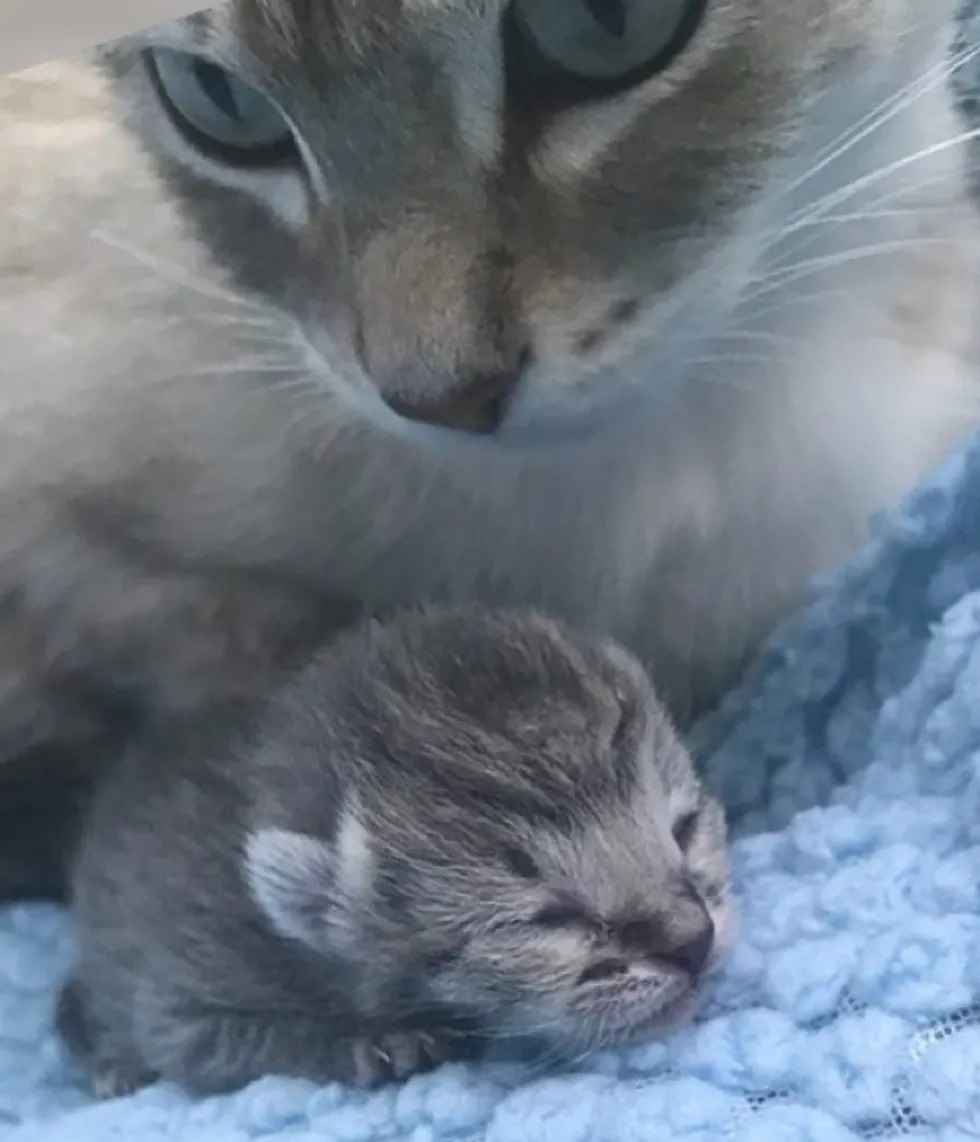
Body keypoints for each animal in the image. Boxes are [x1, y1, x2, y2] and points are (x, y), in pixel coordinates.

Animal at [57, 607, 731, 1096]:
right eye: (547, 919)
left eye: (684, 829)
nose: (694, 939)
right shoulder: (182, 988)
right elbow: (208, 1044)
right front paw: (375, 1042)